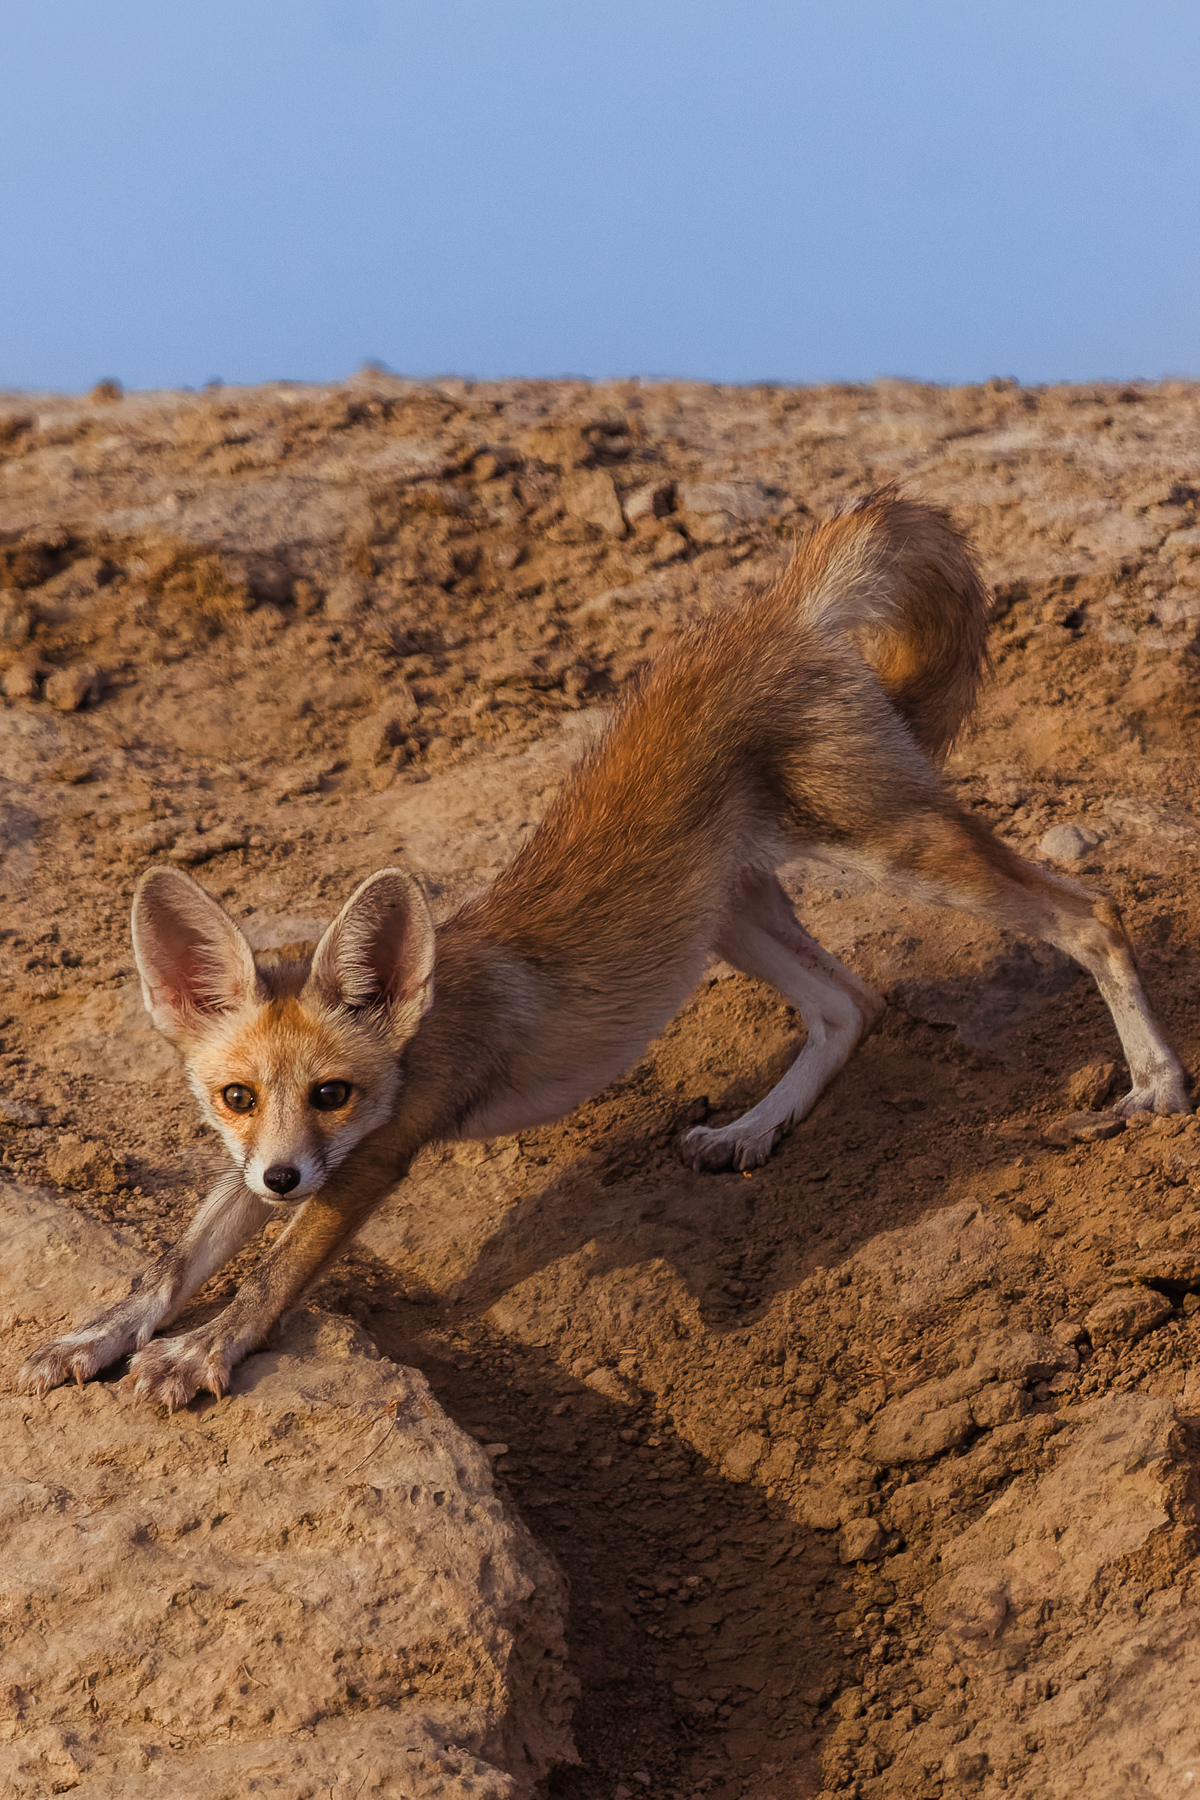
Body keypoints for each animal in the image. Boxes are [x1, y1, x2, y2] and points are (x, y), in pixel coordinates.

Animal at [19, 490, 1191, 1411]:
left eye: (335, 1093)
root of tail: (768, 614)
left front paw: (204, 1352)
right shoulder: (265, 1166)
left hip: (885, 842)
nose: (281, 1173)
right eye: (236, 1097)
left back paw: (1155, 1085)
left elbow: (274, 1275)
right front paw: (99, 1335)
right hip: (727, 916)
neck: (424, 1021)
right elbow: (176, 1260)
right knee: (852, 1003)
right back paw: (753, 1131)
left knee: (1089, 913)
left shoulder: (380, 1153)